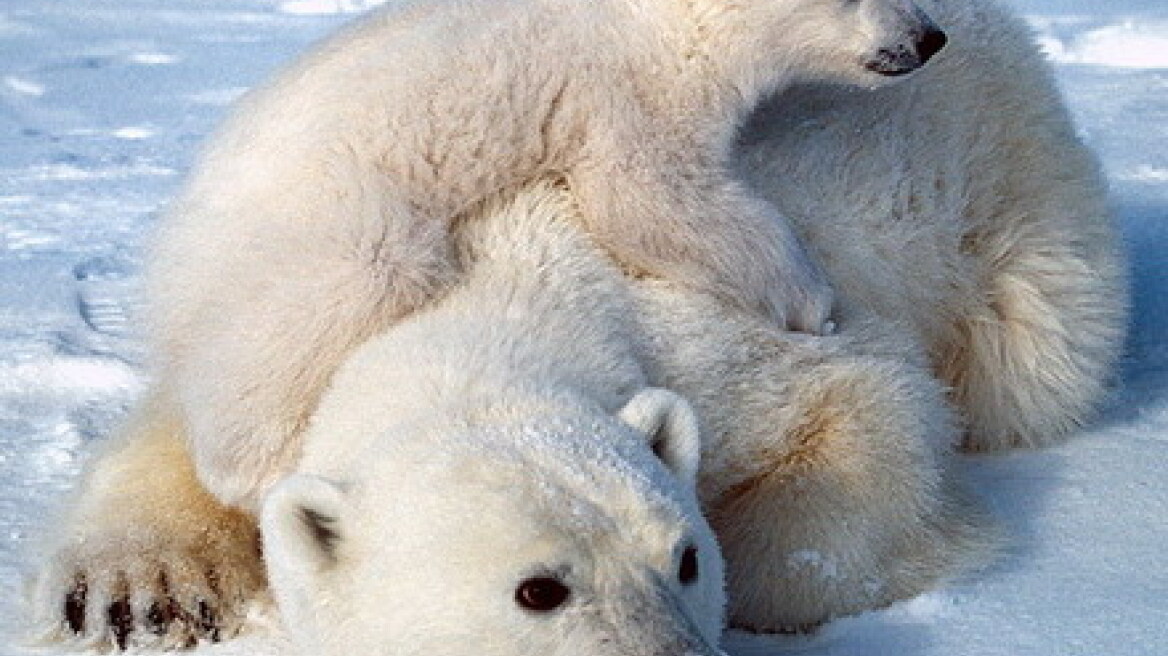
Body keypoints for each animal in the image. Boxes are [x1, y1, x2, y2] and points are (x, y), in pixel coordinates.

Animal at [153, 0, 948, 506]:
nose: (929, 37)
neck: (670, 22)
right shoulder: (627, 95)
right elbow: (649, 199)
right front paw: (813, 300)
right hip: (325, 221)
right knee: (333, 299)